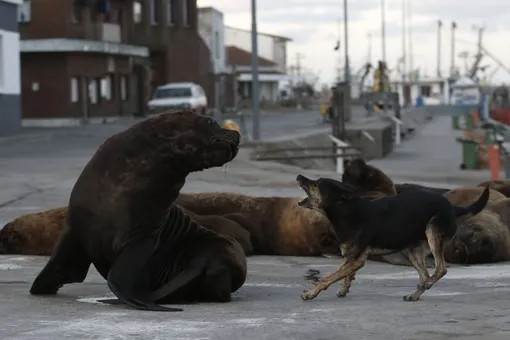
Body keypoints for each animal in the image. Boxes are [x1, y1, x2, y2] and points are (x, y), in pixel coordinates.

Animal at [296, 174, 488, 302]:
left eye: (317, 183)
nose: (299, 176)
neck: (346, 211)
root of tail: (452, 208)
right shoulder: (352, 257)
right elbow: (344, 274)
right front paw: (344, 289)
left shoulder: (357, 259)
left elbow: (329, 277)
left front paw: (310, 293)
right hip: (411, 250)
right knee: (425, 274)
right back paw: (415, 294)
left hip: (432, 233)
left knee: (441, 269)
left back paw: (426, 285)